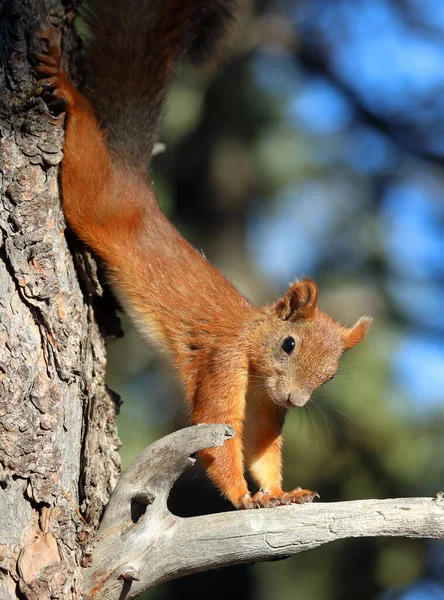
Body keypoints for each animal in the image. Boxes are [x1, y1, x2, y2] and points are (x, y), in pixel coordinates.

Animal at [35, 1, 372, 510]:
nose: (296, 400)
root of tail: (135, 181)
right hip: (93, 198)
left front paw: (280, 492)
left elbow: (261, 447)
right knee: (83, 158)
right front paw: (244, 499)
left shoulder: (266, 401)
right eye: (288, 344)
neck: (254, 360)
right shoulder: (223, 361)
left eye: (332, 376)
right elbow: (217, 436)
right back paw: (67, 88)